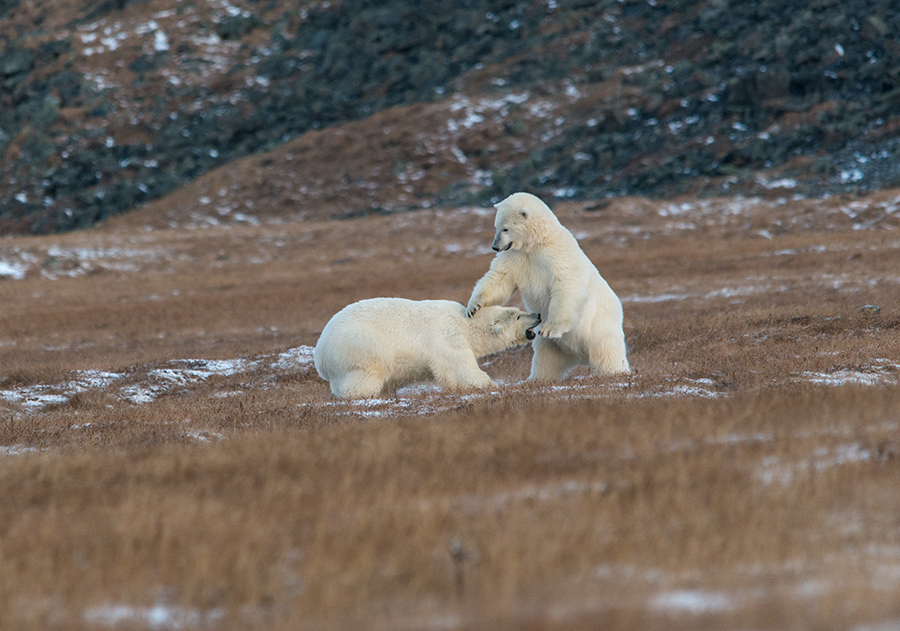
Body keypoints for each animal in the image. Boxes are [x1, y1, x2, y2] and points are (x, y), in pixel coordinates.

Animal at [316, 298, 540, 398]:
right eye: (518, 315)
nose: (537, 315)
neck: (465, 323)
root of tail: (320, 355)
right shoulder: (449, 338)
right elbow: (460, 368)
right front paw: (492, 386)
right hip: (362, 344)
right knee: (367, 372)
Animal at [468, 190, 628, 382]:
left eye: (505, 228)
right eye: (496, 226)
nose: (495, 246)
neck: (537, 242)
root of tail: (579, 355)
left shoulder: (557, 254)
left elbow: (566, 284)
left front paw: (550, 329)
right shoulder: (516, 256)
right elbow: (500, 278)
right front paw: (474, 306)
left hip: (600, 326)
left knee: (607, 353)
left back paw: (616, 373)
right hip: (554, 347)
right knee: (546, 359)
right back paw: (536, 379)